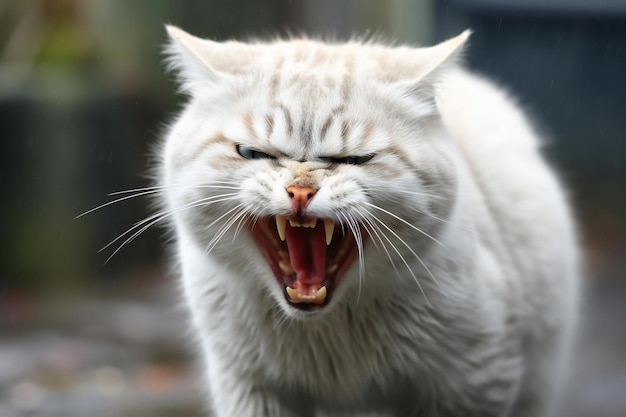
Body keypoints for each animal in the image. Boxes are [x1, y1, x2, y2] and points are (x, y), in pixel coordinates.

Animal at [158, 26, 576, 416]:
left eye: (355, 160)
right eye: (252, 153)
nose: (300, 192)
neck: (329, 327)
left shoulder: (476, 380)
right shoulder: (249, 389)